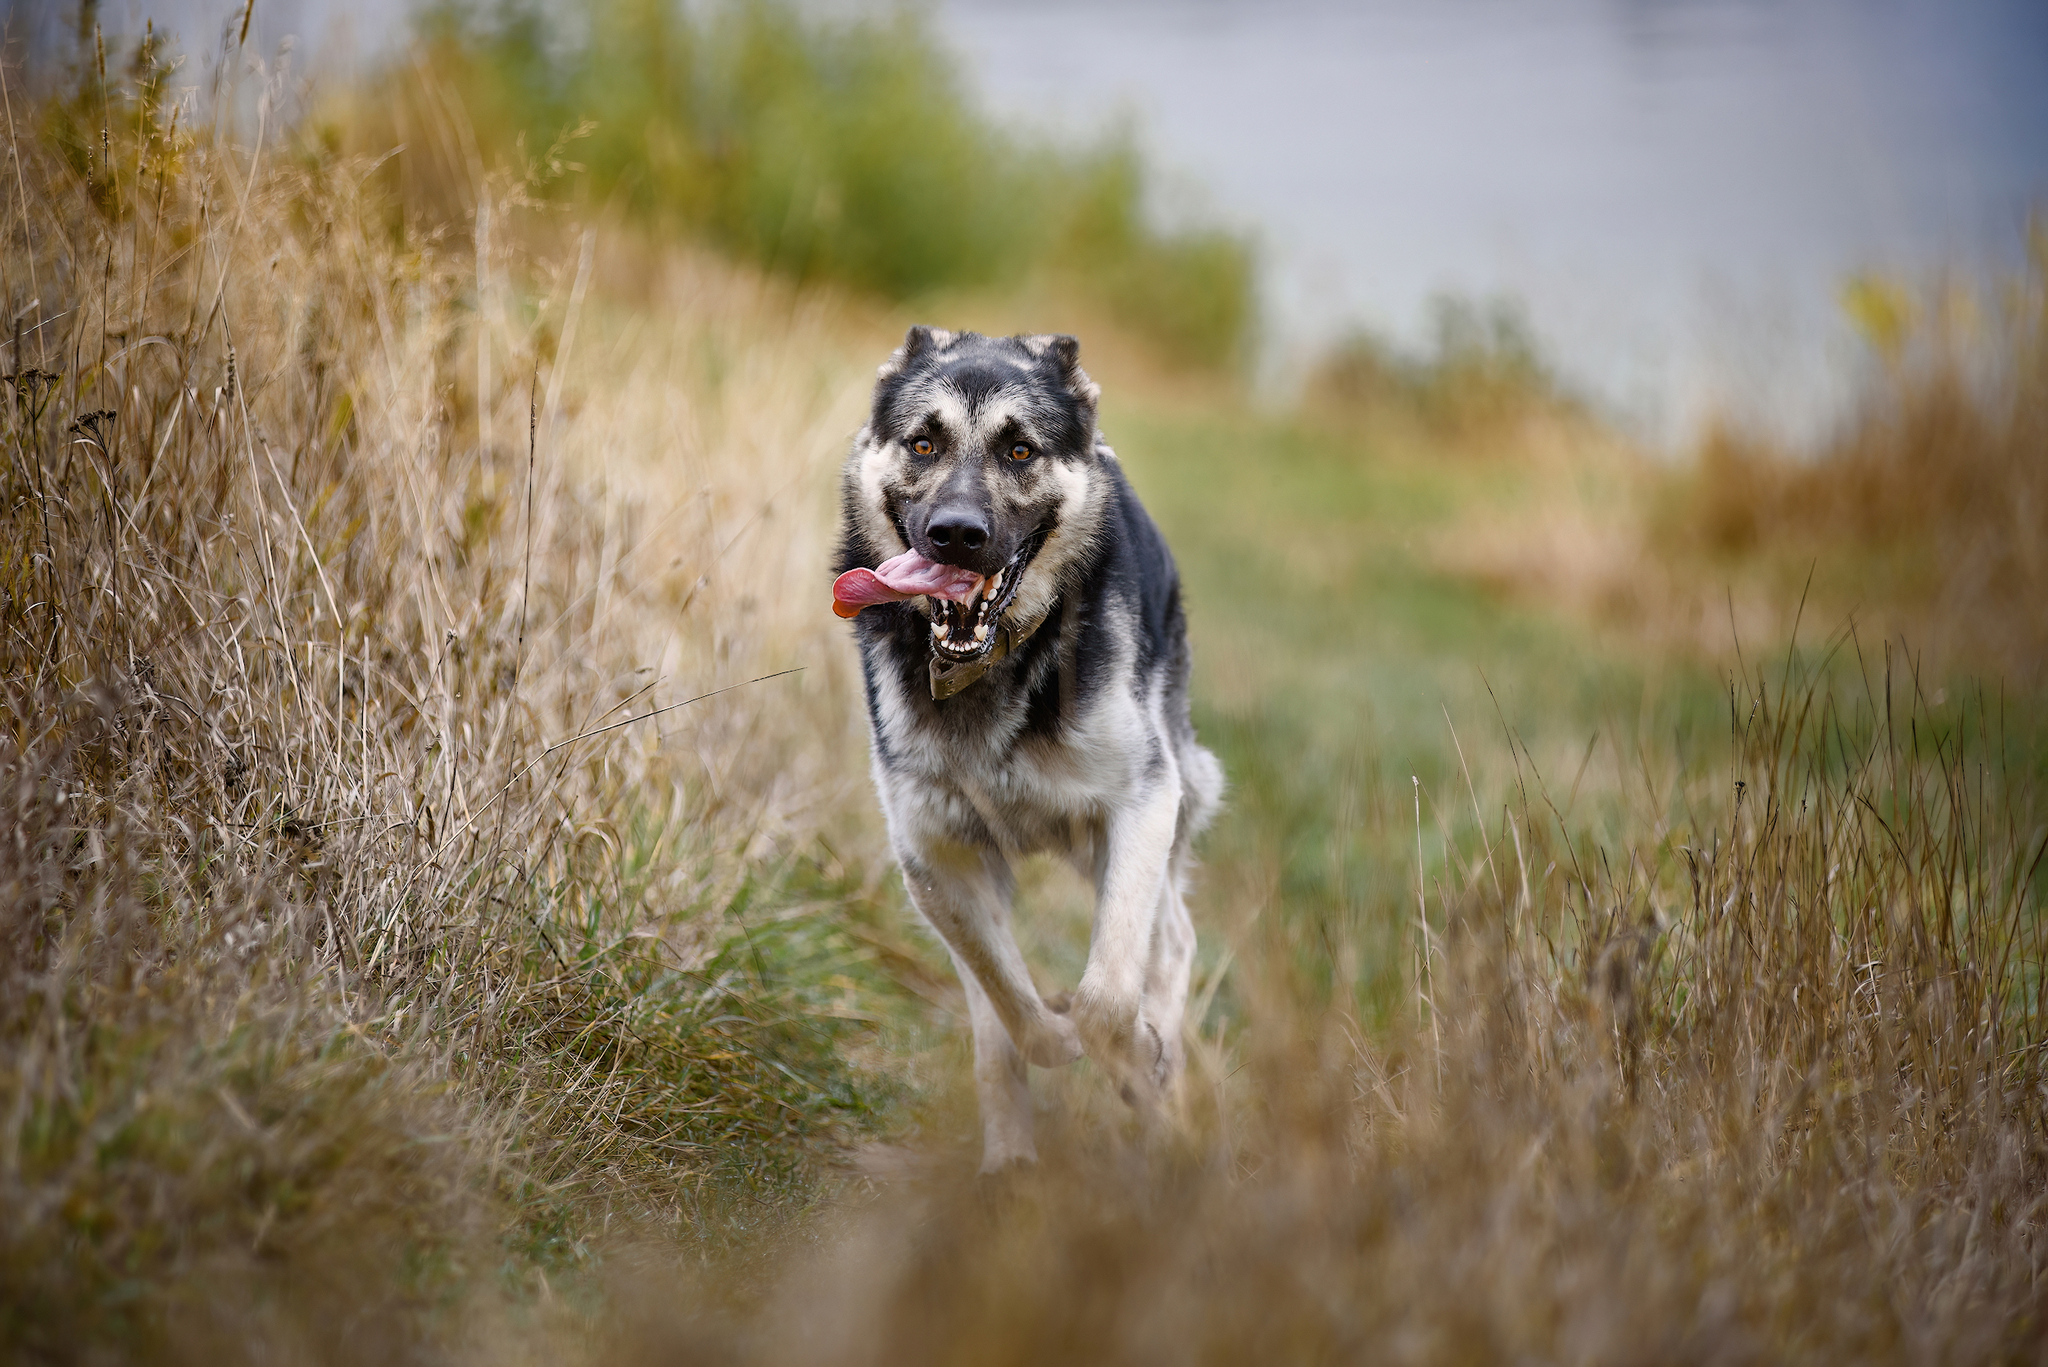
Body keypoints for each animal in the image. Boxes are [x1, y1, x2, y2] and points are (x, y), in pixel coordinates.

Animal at [827, 325, 1212, 1172]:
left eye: (1020, 451)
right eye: (924, 442)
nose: (957, 535)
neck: (995, 665)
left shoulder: (1141, 803)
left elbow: (1106, 997)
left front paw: (1133, 1057)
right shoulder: (935, 856)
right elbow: (1011, 1005)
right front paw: (1057, 1040)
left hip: (1128, 830)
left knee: (1171, 939)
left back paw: (1164, 1097)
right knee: (992, 1019)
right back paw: (1012, 1159)